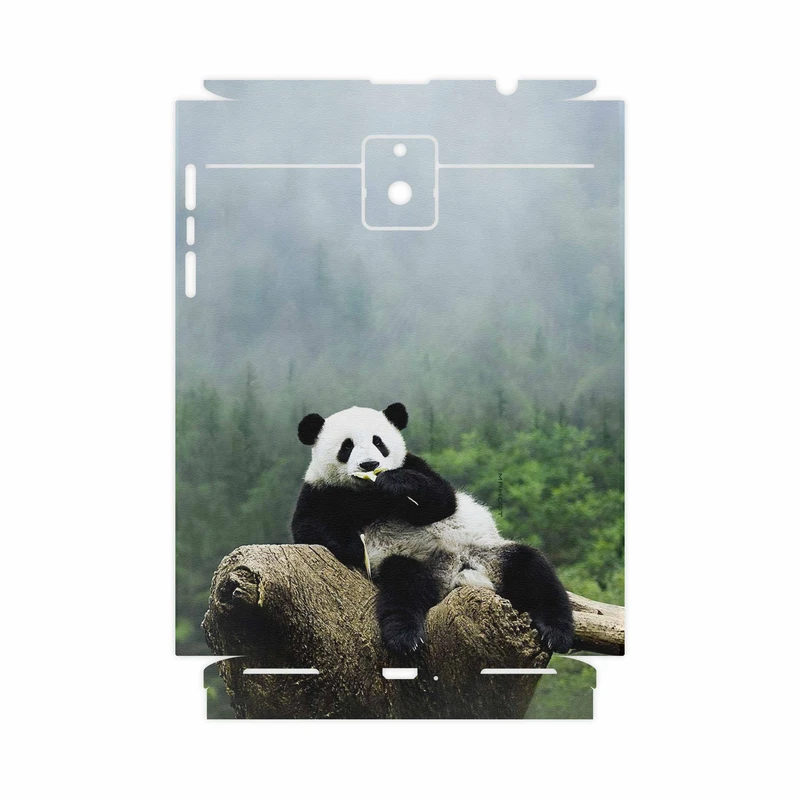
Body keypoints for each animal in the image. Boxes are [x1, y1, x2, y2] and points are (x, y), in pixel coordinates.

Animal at [291, 403, 574, 655]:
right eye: (347, 446)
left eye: (379, 442)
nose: (370, 465)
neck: (368, 493)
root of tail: (458, 572)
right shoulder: (321, 491)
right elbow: (309, 528)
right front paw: (353, 546)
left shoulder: (415, 465)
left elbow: (442, 500)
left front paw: (395, 483)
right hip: (412, 561)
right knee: (404, 587)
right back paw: (404, 637)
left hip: (489, 552)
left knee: (533, 570)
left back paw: (556, 632)